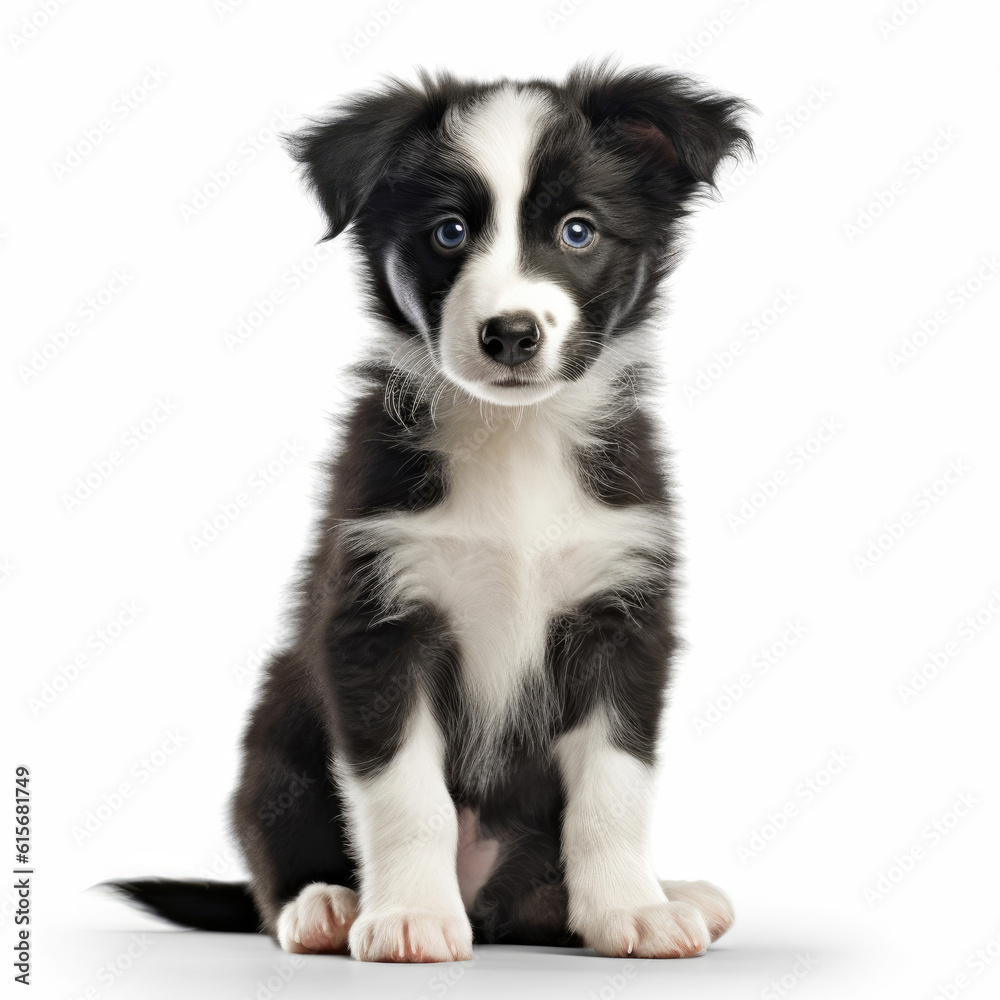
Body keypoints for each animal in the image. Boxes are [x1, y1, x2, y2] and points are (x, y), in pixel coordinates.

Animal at [109, 60, 752, 960]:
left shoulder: (622, 616)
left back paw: (664, 892)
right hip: (277, 729)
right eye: (449, 233)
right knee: (274, 851)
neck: (514, 439)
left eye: (579, 231)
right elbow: (407, 794)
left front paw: (631, 909)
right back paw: (324, 905)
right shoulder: (376, 622)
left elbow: (614, 787)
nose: (510, 333)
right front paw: (409, 915)